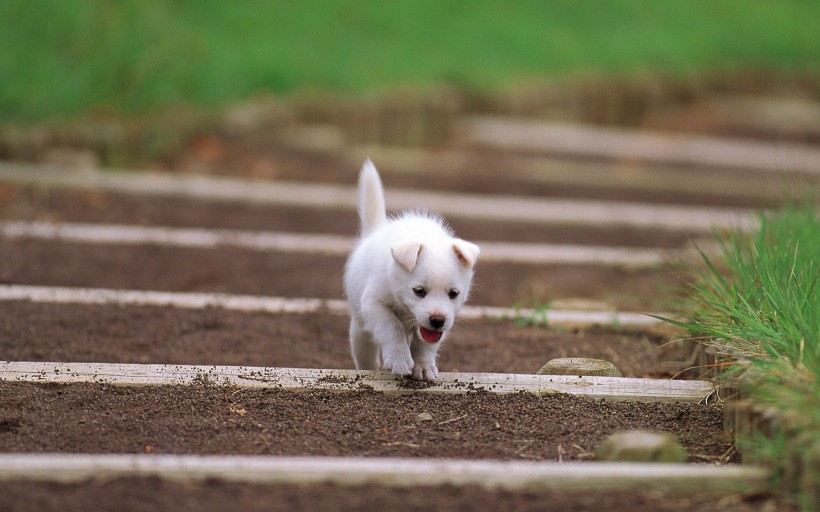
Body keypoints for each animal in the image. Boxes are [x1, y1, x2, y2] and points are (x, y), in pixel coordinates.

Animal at [342, 160, 480, 380]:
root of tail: (373, 232)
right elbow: (392, 327)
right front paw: (399, 360)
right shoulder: (374, 304)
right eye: (419, 292)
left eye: (454, 294)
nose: (437, 320)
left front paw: (423, 366)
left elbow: (426, 343)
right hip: (360, 330)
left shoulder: (444, 322)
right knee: (366, 355)